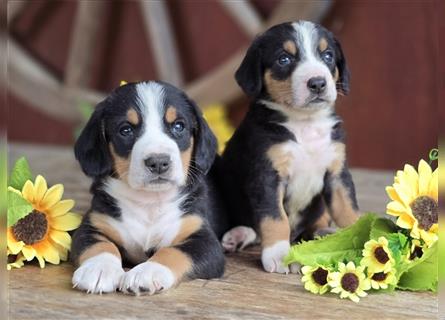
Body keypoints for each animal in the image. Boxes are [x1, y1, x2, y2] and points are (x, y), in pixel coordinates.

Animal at [73, 80, 225, 296]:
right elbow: (99, 245)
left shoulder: (204, 240)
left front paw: (146, 272)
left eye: (179, 126)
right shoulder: (93, 225)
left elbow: (172, 252)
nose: (159, 162)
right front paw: (98, 269)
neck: (150, 202)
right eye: (126, 130)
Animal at [218, 21, 358, 274]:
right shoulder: (266, 176)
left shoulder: (337, 173)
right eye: (284, 59)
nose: (317, 83)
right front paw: (279, 254)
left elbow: (347, 209)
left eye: (328, 55)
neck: (304, 123)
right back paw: (237, 235)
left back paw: (323, 233)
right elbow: (275, 219)